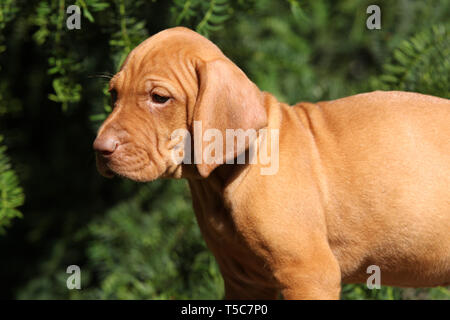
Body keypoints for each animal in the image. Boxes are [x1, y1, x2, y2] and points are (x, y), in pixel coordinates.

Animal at [92, 27, 450, 300]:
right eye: (113, 95)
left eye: (159, 98)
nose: (99, 148)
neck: (224, 179)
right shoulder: (244, 282)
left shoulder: (309, 275)